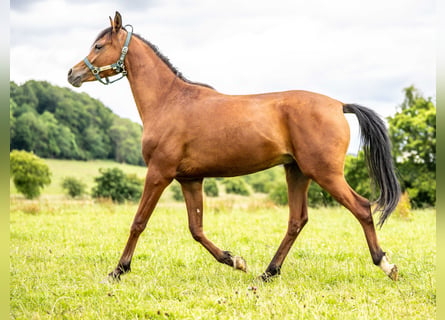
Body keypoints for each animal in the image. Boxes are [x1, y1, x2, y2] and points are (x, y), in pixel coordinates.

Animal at [67, 11, 400, 282]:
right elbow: (196, 229)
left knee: (361, 208)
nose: (73, 74)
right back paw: (268, 272)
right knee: (297, 220)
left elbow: (138, 222)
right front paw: (234, 260)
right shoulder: (190, 179)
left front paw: (118, 270)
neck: (169, 101)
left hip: (324, 173)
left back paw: (386, 265)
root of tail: (339, 105)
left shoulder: (159, 173)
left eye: (99, 46)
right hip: (296, 172)